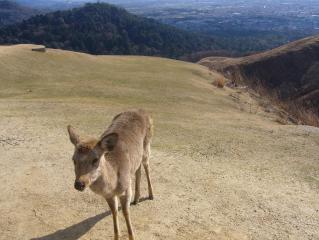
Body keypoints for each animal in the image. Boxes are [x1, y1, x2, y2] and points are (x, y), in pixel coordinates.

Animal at [67, 109, 154, 240]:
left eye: (95, 159)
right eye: (73, 159)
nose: (79, 184)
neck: (113, 185)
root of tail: (141, 111)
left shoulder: (126, 189)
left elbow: (126, 212)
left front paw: (132, 236)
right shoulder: (108, 195)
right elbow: (114, 212)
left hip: (146, 147)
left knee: (147, 166)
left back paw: (151, 195)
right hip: (137, 158)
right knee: (138, 170)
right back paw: (136, 199)